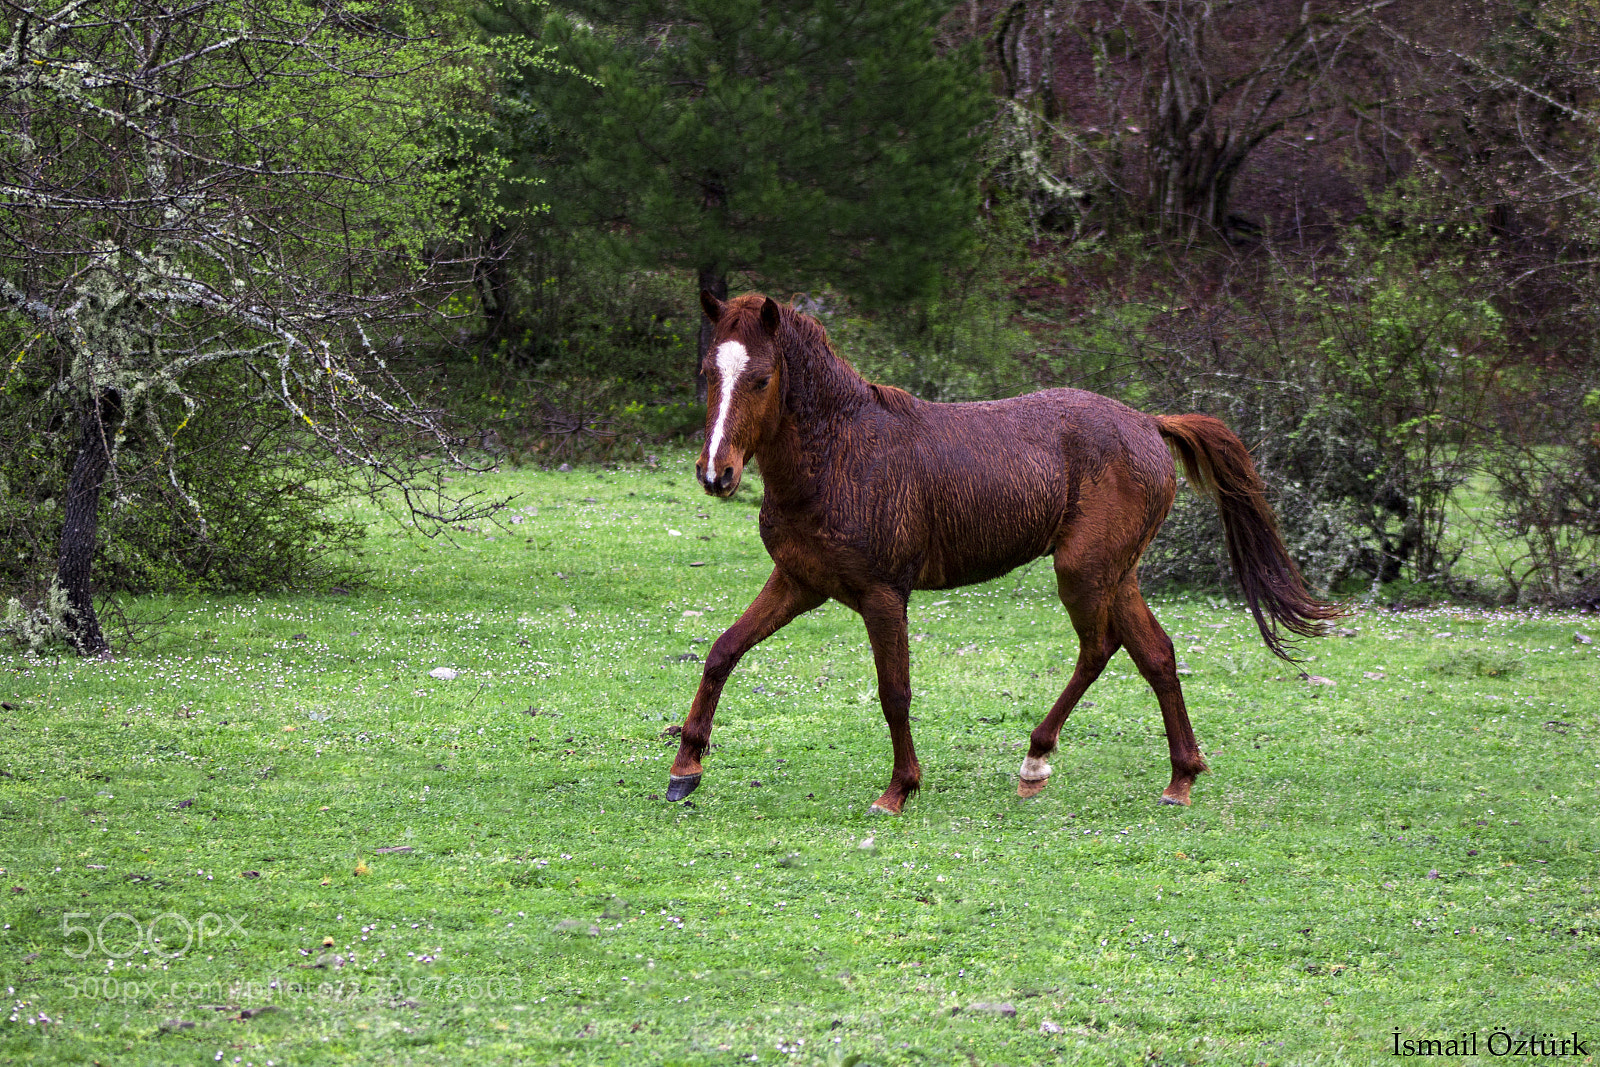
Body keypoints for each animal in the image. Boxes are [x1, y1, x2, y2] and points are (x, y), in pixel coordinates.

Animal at [666, 291, 1344, 814]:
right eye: (707, 374)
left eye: (761, 379)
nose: (716, 474)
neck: (841, 453)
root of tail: (1150, 424)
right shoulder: (798, 582)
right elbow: (722, 652)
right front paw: (685, 768)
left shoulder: (883, 596)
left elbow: (894, 691)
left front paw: (899, 791)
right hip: (1116, 574)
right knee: (1154, 655)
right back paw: (1177, 777)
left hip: (1084, 571)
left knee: (1100, 648)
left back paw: (1037, 760)